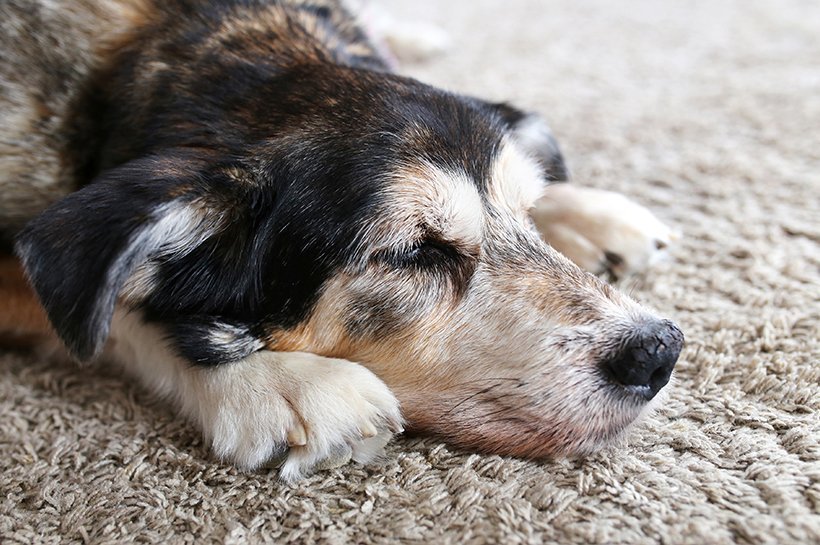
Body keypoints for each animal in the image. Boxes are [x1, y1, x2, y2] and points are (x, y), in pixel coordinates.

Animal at [0, 0, 684, 480]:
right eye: (416, 253)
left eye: (526, 214)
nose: (659, 351)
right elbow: (111, 307)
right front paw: (277, 382)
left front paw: (582, 209)